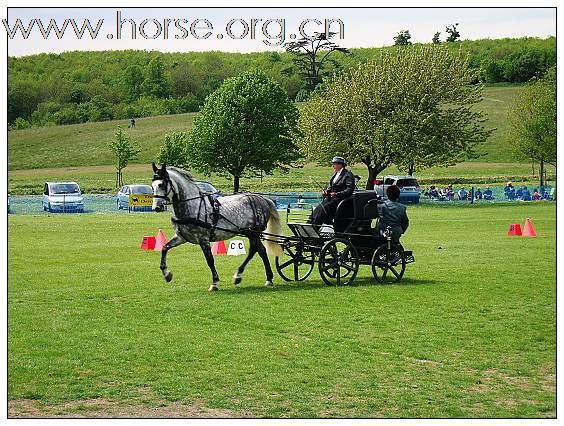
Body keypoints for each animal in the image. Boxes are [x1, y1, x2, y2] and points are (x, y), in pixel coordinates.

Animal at [151, 162, 282, 290]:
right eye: (152, 186)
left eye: (162, 185)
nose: (156, 207)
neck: (193, 206)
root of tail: (262, 199)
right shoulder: (181, 237)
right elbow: (164, 248)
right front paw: (167, 274)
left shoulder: (203, 239)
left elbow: (210, 260)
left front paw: (214, 283)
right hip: (250, 233)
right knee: (261, 250)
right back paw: (268, 278)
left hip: (254, 232)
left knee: (253, 251)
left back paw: (238, 275)